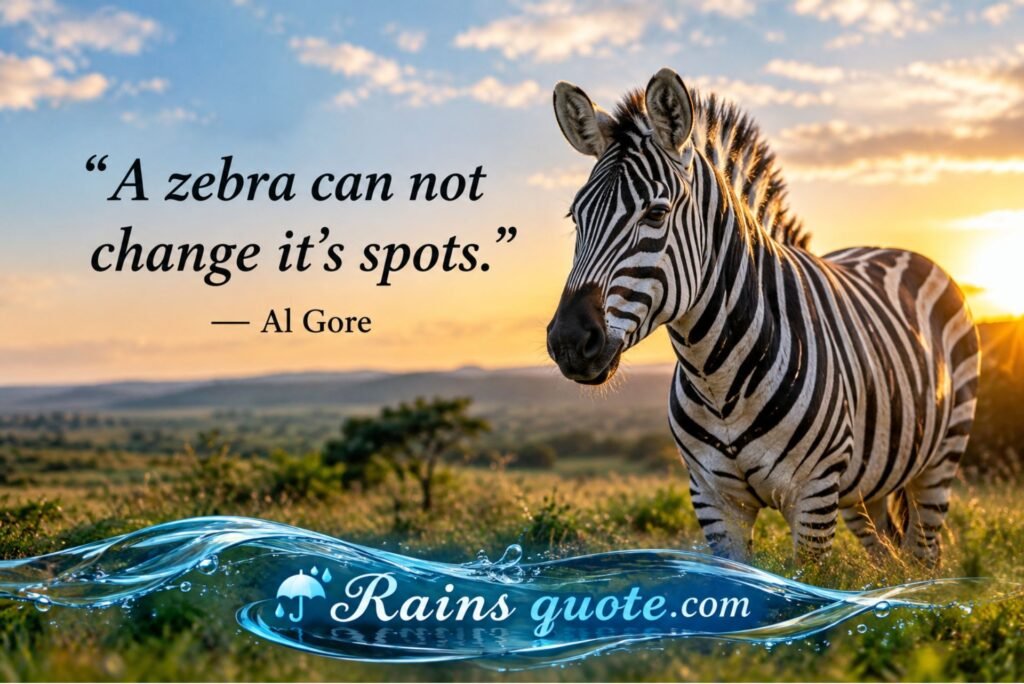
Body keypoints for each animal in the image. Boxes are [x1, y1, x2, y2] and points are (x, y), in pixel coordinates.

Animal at [545, 68, 980, 566]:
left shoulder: (813, 498)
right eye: (575, 217)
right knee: (887, 554)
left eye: (656, 213)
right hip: (866, 482)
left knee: (924, 549)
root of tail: (895, 250)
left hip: (941, 458)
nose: (569, 342)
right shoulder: (713, 501)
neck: (716, 375)